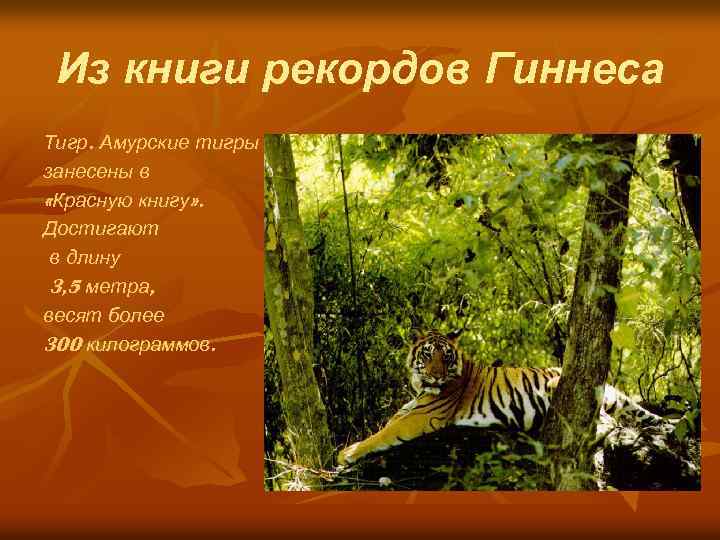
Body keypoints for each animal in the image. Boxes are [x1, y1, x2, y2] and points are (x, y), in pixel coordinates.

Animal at [337, 329, 666, 466]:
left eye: (446, 356)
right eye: (428, 355)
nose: (437, 375)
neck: (423, 387)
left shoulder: (422, 417)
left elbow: (384, 433)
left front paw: (347, 453)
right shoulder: (411, 408)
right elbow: (388, 421)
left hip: (558, 387)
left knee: (606, 423)